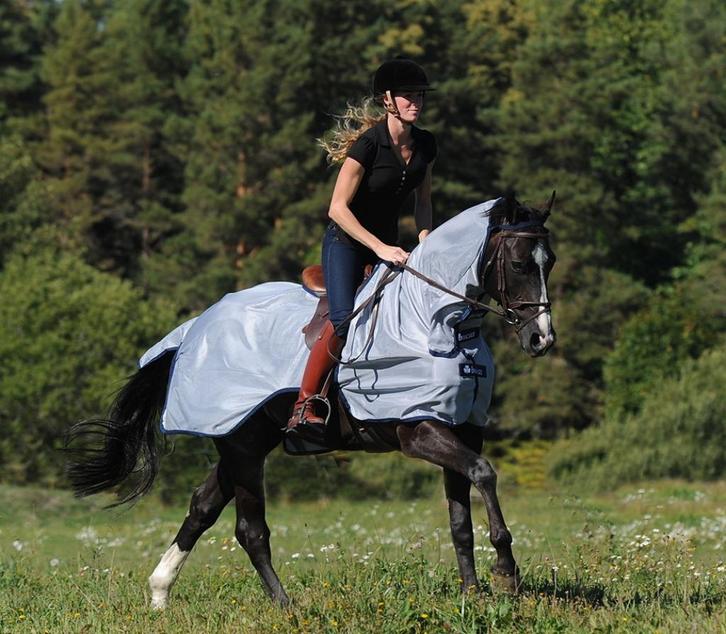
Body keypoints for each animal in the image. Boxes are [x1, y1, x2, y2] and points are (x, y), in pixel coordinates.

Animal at [65, 193, 557, 610]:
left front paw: (474, 592)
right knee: (250, 530)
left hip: (243, 441)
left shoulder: (461, 427)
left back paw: (160, 593)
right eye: (518, 263)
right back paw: (285, 606)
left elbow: (460, 519)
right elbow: (484, 473)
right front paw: (506, 572)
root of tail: (194, 328)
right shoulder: (417, 430)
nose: (542, 339)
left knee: (203, 506)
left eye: (548, 262)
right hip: (243, 448)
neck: (435, 323)